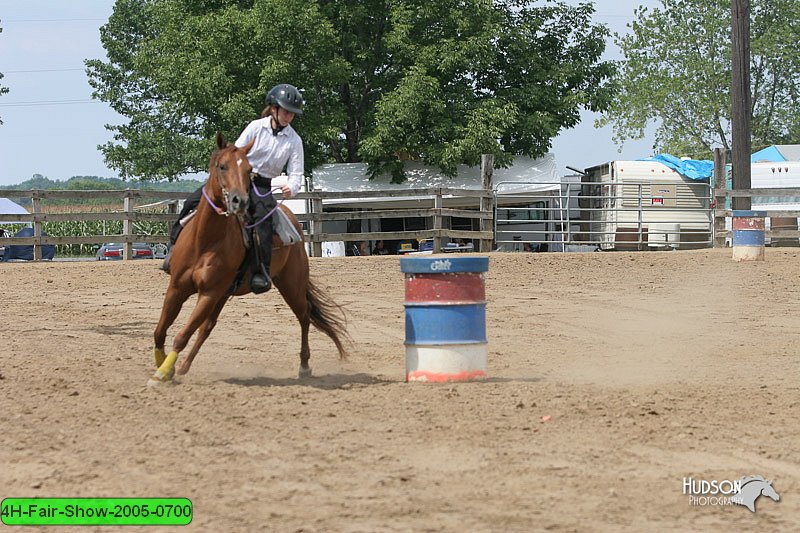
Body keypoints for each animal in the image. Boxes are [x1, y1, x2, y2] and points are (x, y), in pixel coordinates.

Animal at [148, 131, 348, 384]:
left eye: (248, 170)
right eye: (222, 166)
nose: (239, 200)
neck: (205, 240)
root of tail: (293, 220)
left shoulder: (208, 293)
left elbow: (182, 335)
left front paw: (163, 372)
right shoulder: (177, 287)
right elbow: (160, 330)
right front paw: (163, 365)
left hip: (290, 283)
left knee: (304, 315)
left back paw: (304, 366)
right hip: (225, 293)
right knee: (207, 327)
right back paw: (183, 366)